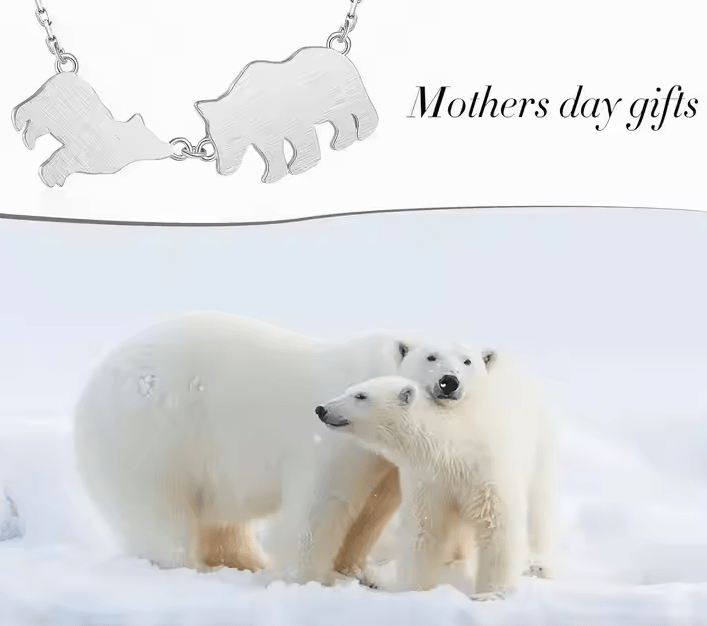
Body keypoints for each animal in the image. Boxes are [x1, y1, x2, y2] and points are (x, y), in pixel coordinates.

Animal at [73, 311, 454, 574]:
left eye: (464, 360)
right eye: (431, 357)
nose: (449, 382)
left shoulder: (385, 462)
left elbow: (371, 510)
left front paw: (357, 572)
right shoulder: (331, 441)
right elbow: (319, 505)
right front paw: (305, 575)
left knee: (221, 522)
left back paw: (245, 561)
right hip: (154, 437)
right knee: (160, 512)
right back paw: (184, 565)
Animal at [314, 354, 559, 599]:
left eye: (360, 396)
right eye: (350, 389)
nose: (321, 409)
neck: (455, 445)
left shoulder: (488, 471)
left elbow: (497, 527)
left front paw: (492, 593)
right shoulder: (429, 480)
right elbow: (425, 531)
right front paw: (416, 589)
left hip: (540, 447)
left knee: (539, 507)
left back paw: (539, 565)